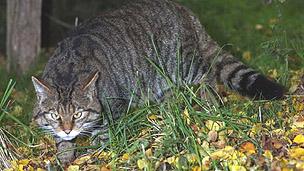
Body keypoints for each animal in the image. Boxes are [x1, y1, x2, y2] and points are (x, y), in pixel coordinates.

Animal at [30, 0, 282, 165]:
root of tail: (182, 8)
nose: (67, 129)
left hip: (183, 64)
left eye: (78, 114)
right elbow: (61, 144)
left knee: (208, 75)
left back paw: (209, 104)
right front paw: (64, 155)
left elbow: (102, 137)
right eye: (55, 115)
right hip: (161, 81)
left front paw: (95, 156)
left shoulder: (114, 106)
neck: (68, 69)